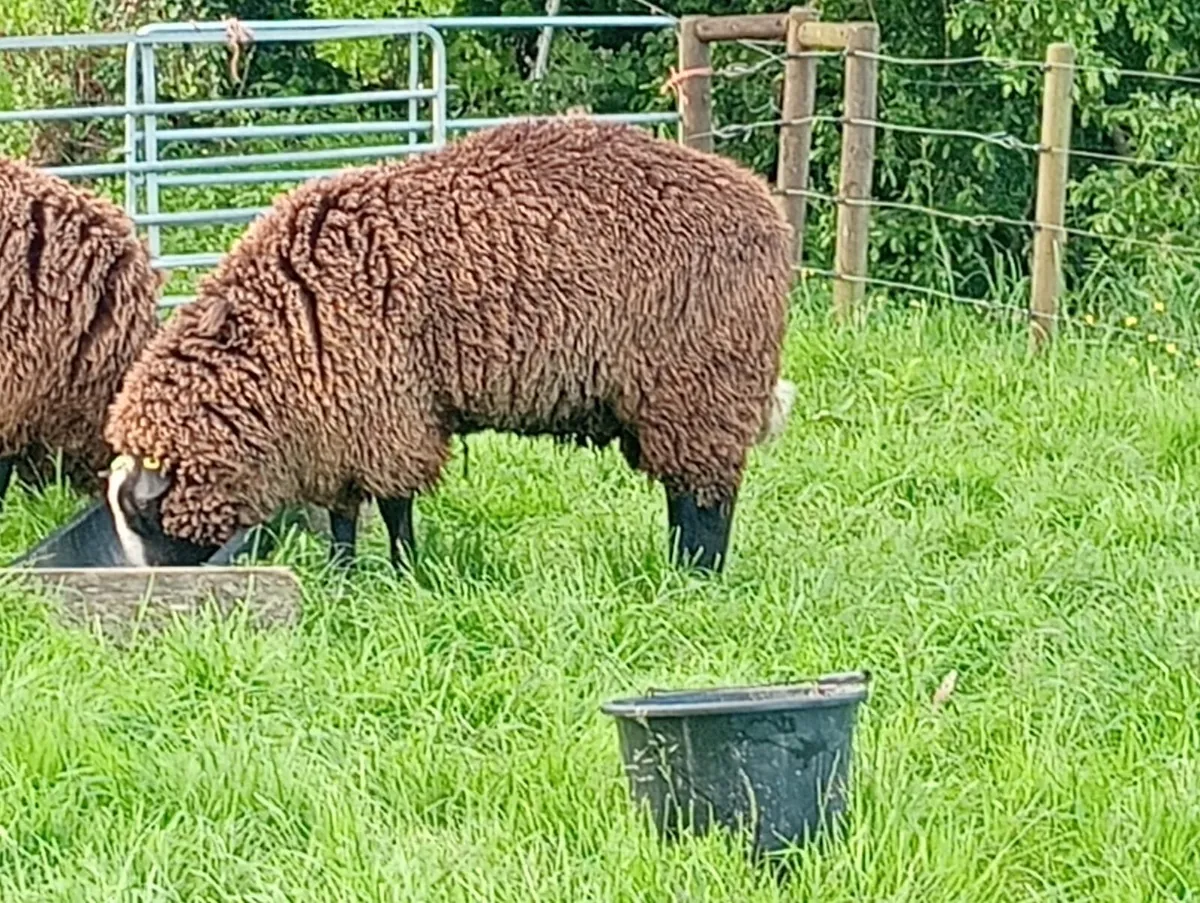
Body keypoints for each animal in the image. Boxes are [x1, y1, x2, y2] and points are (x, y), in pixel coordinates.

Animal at [101, 116, 796, 573]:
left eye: (142, 515)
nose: (154, 597)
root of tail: (766, 209)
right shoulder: (336, 424)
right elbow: (345, 513)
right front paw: (341, 576)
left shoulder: (384, 412)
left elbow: (394, 505)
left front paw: (405, 572)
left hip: (701, 387)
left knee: (704, 498)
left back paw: (695, 575)